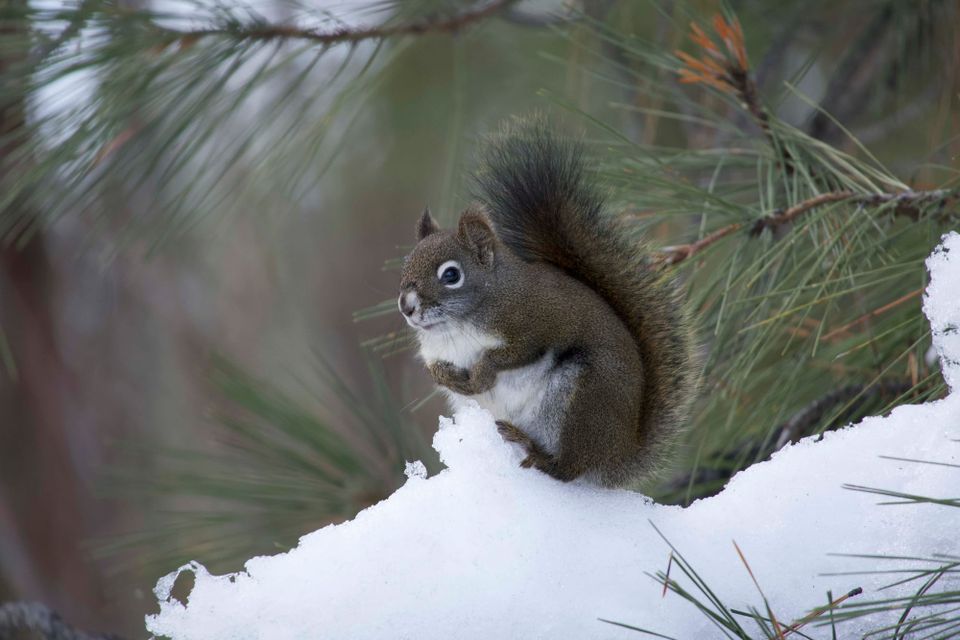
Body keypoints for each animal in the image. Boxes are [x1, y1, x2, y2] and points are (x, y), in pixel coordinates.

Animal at [398, 119, 698, 487]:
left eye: (451, 274)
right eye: (406, 264)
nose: (407, 306)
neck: (455, 327)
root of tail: (619, 454)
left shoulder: (538, 322)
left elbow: (511, 354)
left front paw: (481, 374)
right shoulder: (433, 351)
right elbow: (434, 369)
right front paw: (448, 376)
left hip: (583, 397)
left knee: (569, 469)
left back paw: (539, 454)